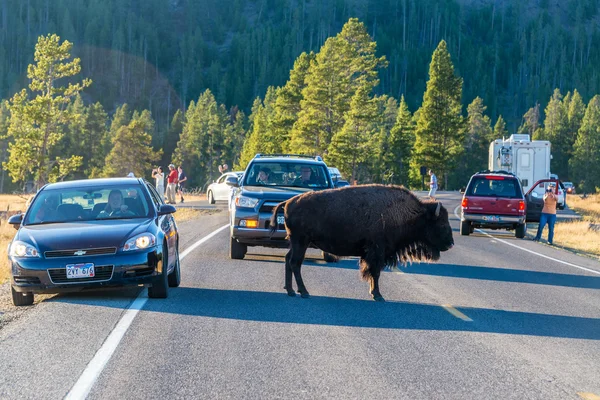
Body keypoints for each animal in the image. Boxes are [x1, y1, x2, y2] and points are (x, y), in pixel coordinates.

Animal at [270, 184, 452, 300]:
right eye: (442, 223)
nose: (450, 243)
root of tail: (288, 202)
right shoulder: (377, 252)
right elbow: (375, 272)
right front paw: (378, 295)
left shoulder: (372, 254)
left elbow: (372, 272)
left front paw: (374, 293)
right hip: (301, 242)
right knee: (295, 263)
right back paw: (304, 292)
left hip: (296, 242)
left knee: (288, 260)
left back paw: (291, 291)